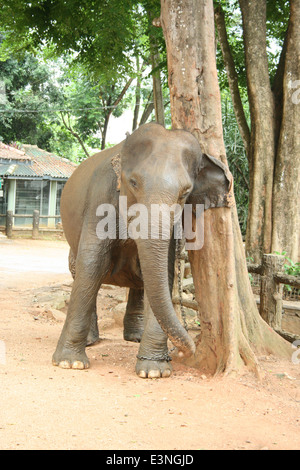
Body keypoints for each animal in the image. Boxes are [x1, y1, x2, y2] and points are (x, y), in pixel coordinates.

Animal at [52, 122, 233, 378]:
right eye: (134, 183)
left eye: (185, 193)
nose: (187, 349)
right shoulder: (100, 197)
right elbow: (92, 265)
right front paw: (70, 363)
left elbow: (163, 274)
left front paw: (154, 371)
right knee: (80, 271)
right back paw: (90, 341)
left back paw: (134, 338)